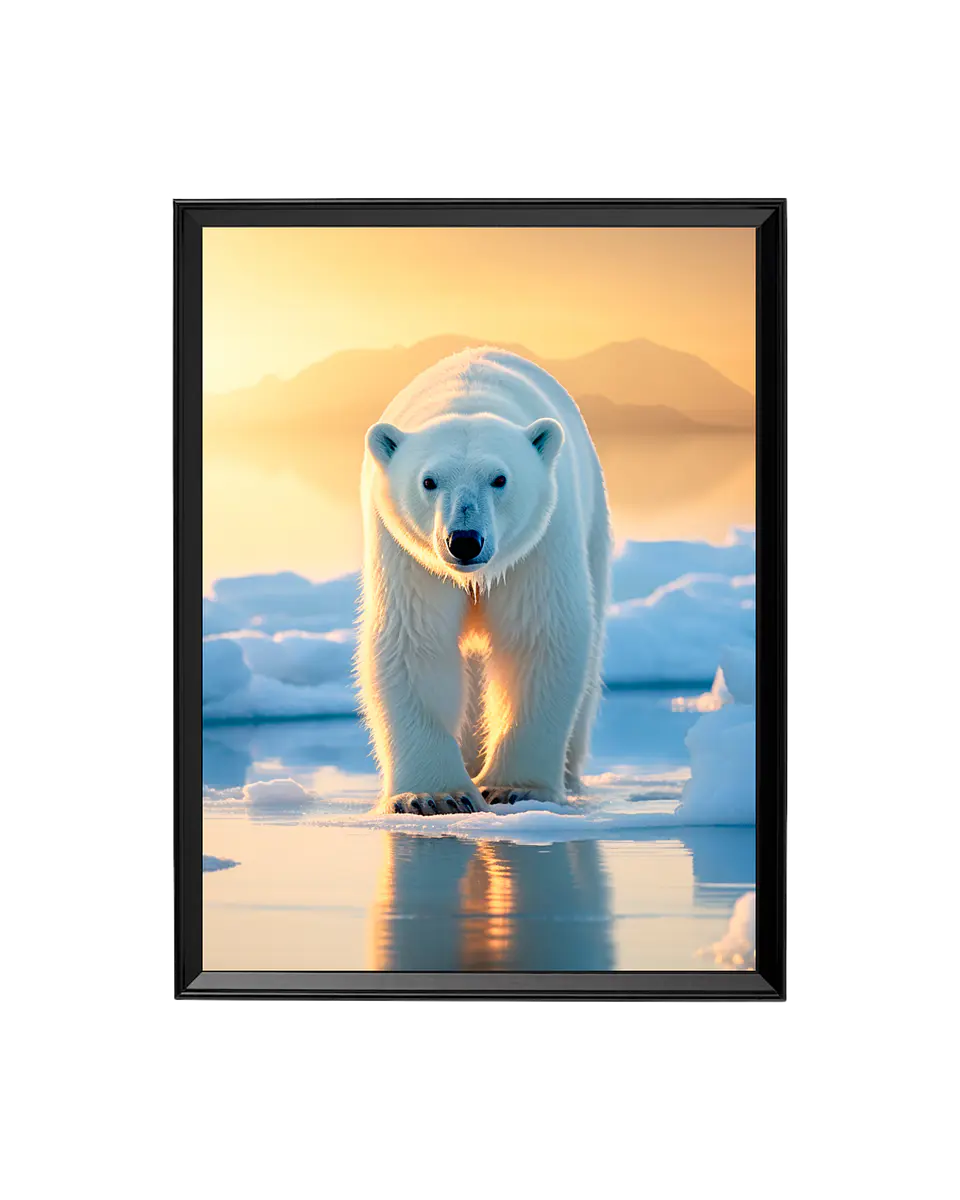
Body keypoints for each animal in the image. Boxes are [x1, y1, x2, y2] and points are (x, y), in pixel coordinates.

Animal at [357, 347, 612, 816]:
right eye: (428, 480)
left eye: (500, 478)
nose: (464, 540)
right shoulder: (407, 556)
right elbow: (413, 641)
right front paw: (434, 796)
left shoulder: (539, 545)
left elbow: (538, 637)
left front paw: (514, 788)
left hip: (593, 533)